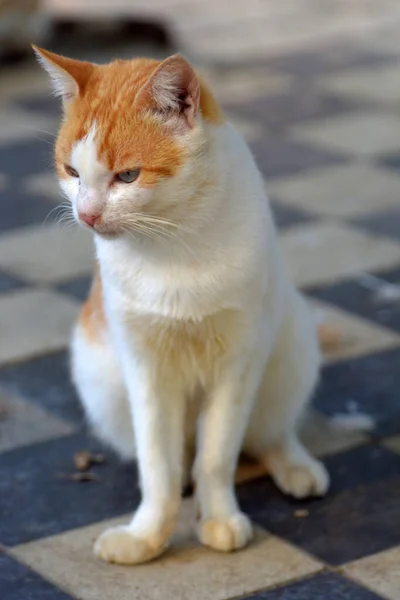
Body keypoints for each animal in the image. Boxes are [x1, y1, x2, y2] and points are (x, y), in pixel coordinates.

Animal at [33, 45, 328, 564]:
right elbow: (158, 465)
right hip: (102, 380)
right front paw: (148, 535)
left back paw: (294, 465)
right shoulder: (144, 366)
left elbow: (218, 455)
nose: (87, 215)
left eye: (127, 176)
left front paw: (220, 518)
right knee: (180, 456)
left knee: (267, 433)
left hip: (291, 343)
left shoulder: (238, 364)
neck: (173, 240)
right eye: (72, 172)